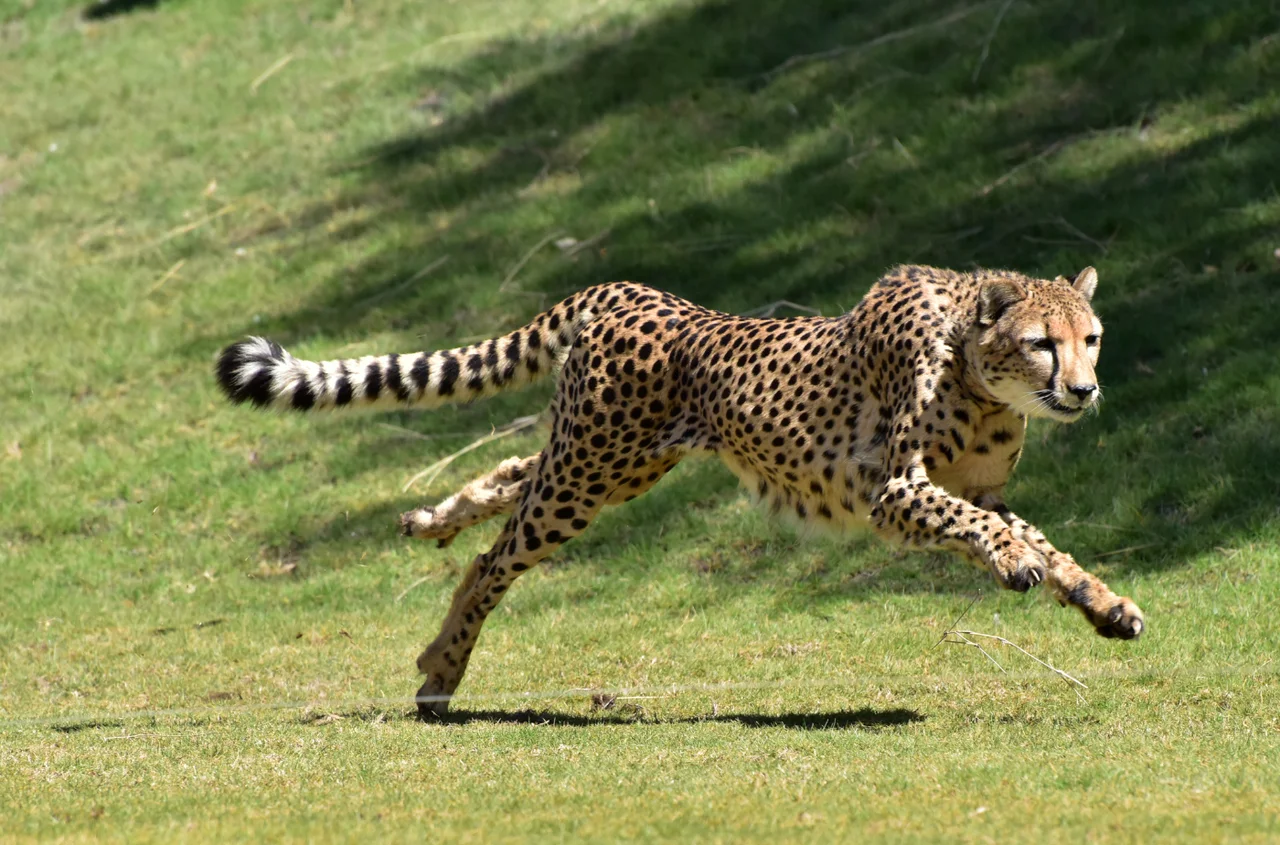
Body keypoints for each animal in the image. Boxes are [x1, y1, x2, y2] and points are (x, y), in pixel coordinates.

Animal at [215, 263, 1146, 711]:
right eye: (1042, 342)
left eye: (1092, 337)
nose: (1085, 389)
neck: (976, 367)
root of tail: (631, 290)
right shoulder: (895, 490)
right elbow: (991, 532)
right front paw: (1018, 564)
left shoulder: (976, 491)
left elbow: (1045, 543)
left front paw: (1102, 602)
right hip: (589, 471)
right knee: (494, 559)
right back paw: (442, 667)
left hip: (609, 463)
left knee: (515, 476)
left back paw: (432, 519)